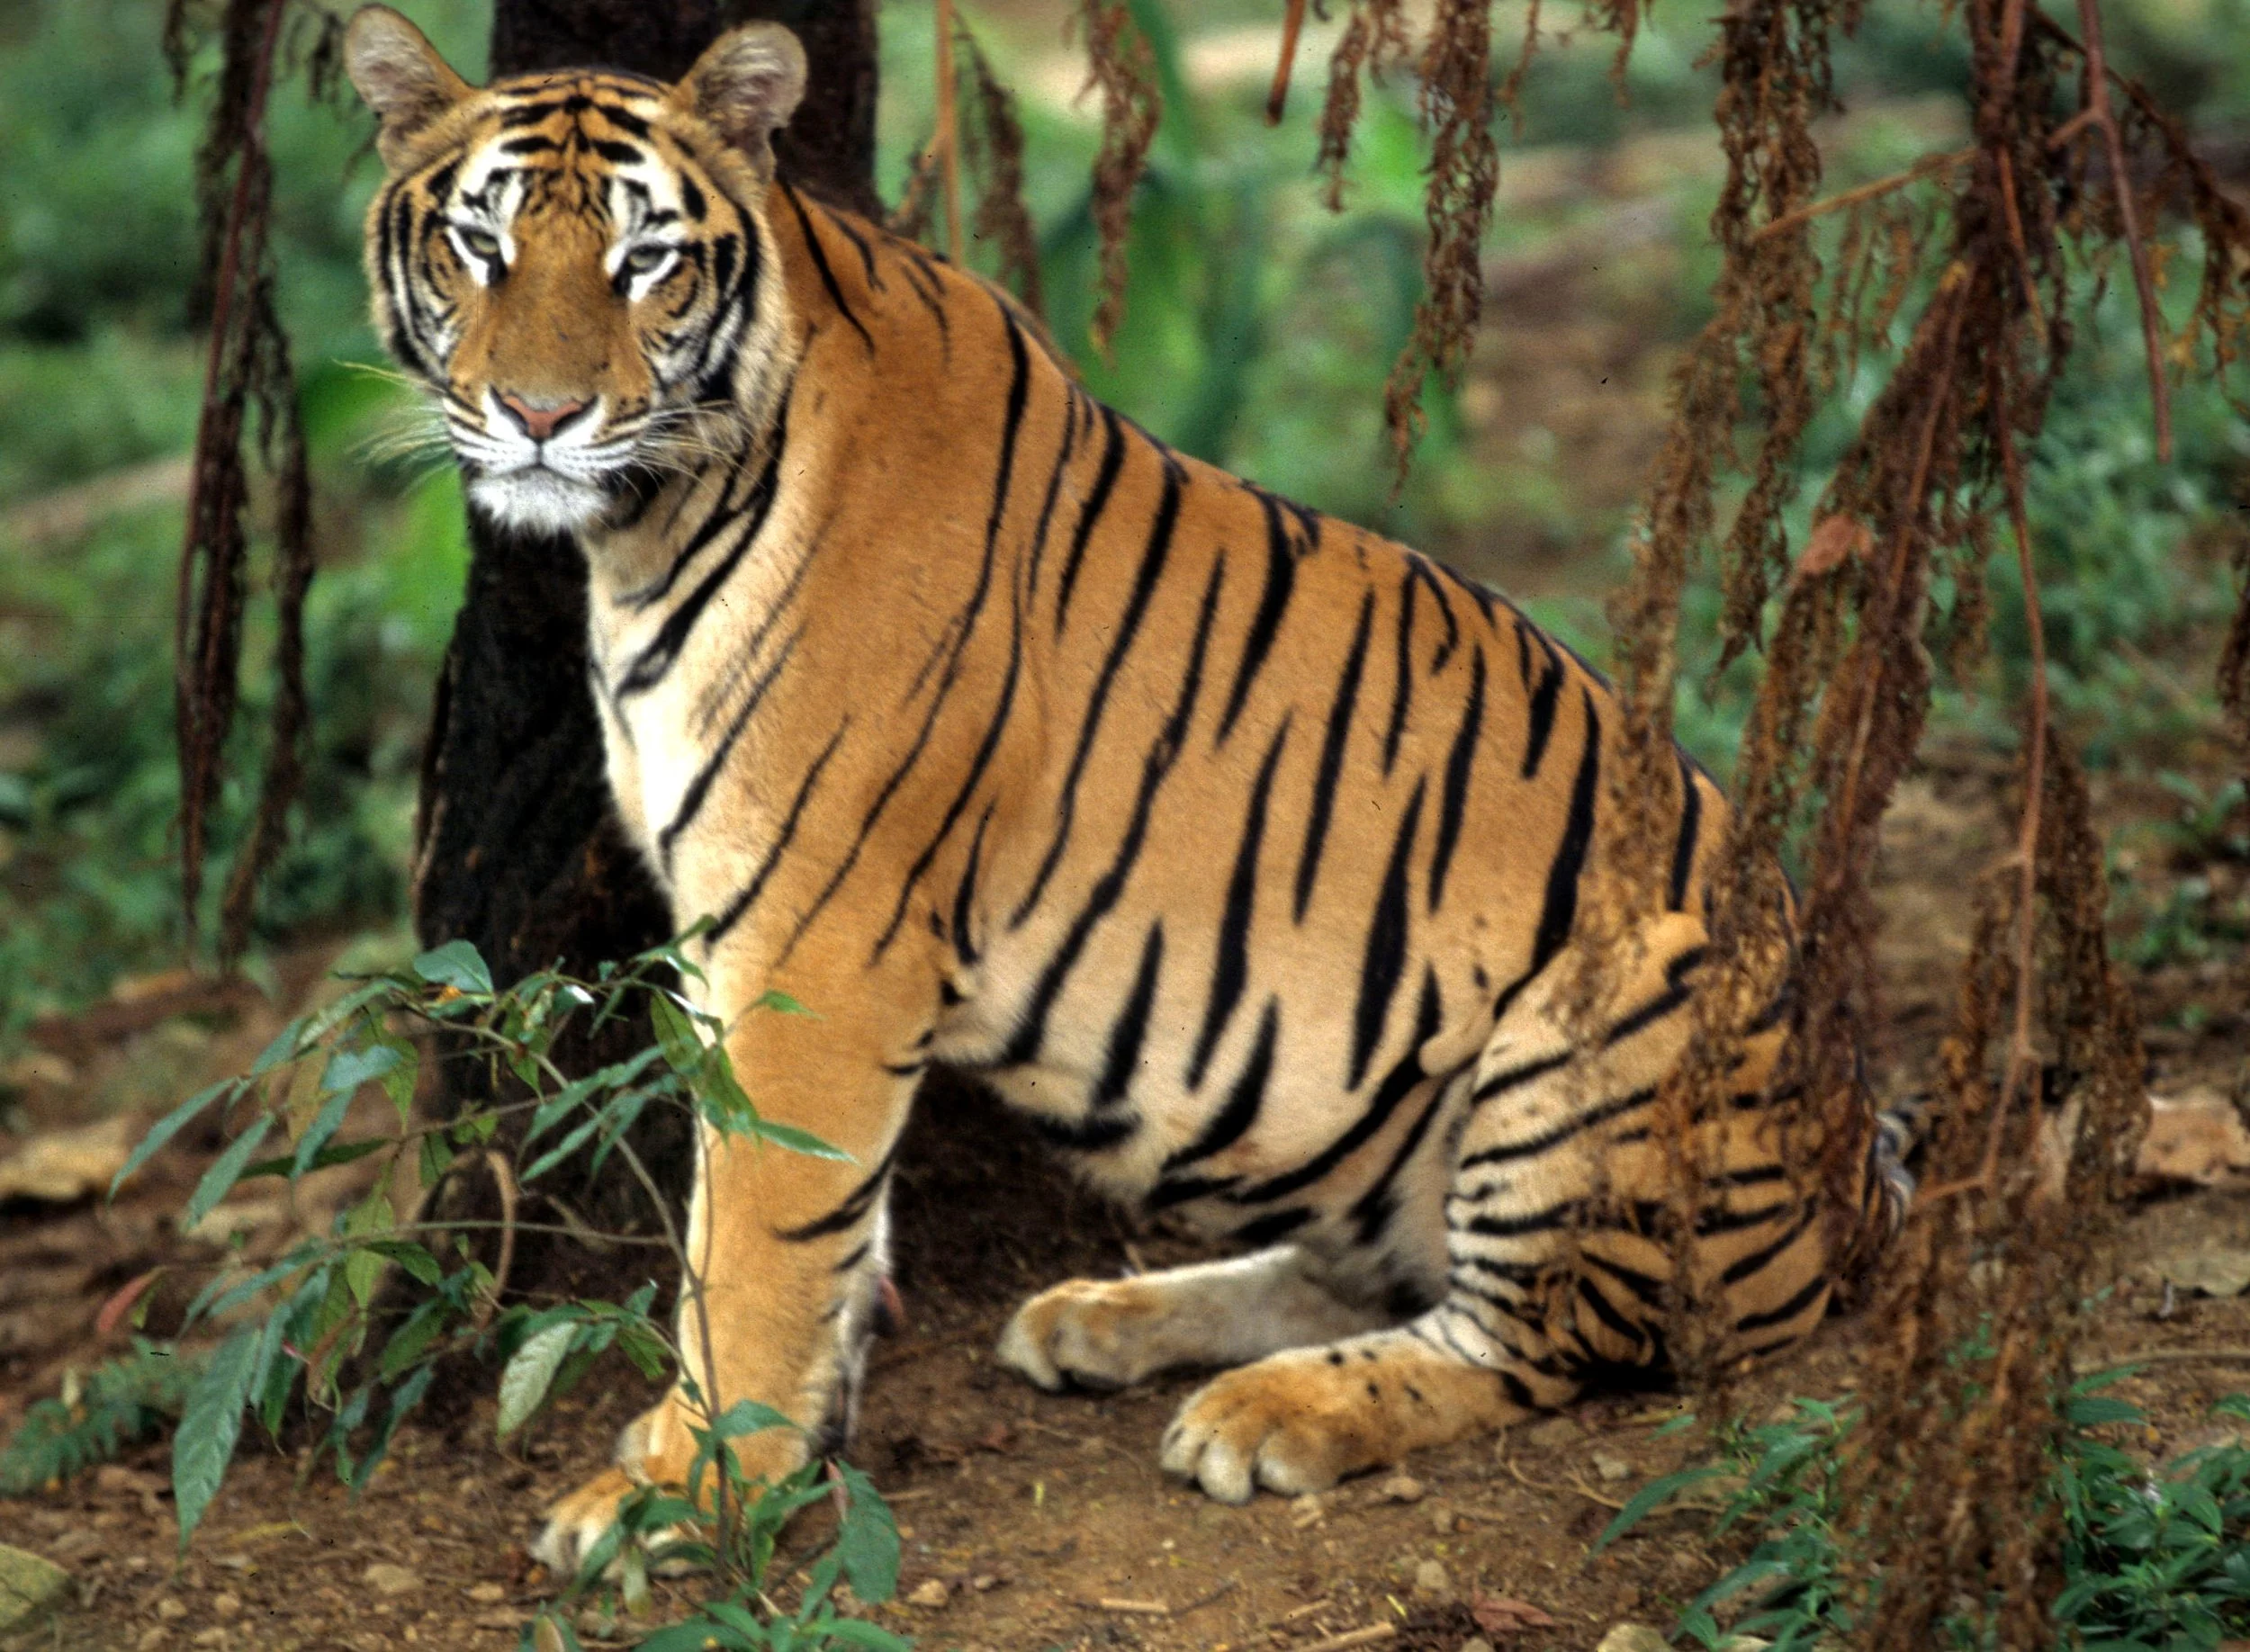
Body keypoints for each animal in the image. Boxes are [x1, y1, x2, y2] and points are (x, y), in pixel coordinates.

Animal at [341, 5, 1905, 1574]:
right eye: (479, 245)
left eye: (644, 260)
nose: (540, 415)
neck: (648, 527)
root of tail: (1858, 1180)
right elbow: (828, 1231)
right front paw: (786, 1439)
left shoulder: (815, 945)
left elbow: (758, 1236)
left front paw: (697, 1487)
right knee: (1376, 1274)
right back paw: (1107, 1320)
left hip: (1614, 1021)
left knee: (1532, 1338)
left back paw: (1268, 1415)